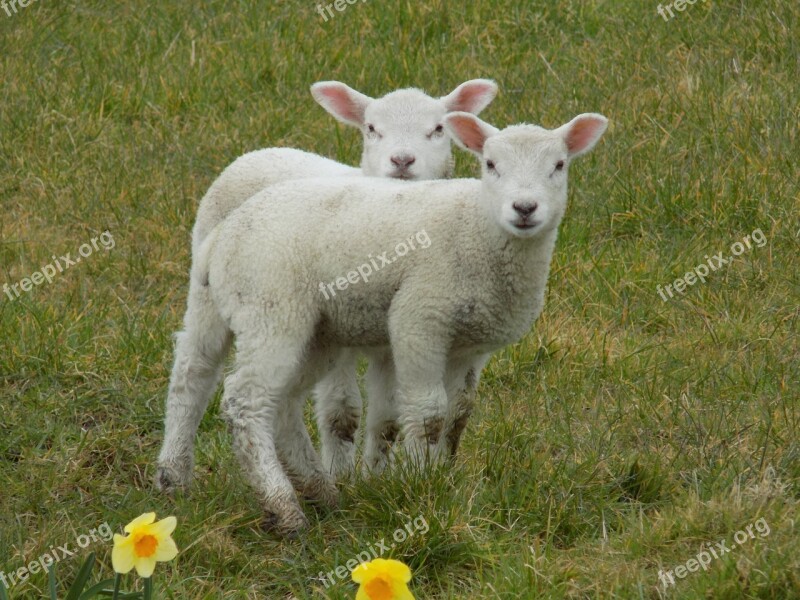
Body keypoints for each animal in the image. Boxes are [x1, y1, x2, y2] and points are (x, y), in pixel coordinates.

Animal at [155, 78, 500, 492]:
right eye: (371, 129)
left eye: (437, 130)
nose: (402, 161)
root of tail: (260, 151)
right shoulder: (342, 330)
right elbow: (342, 413)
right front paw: (342, 477)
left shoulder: (403, 344)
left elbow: (399, 419)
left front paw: (380, 479)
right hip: (209, 287)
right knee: (194, 368)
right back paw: (174, 472)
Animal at [186, 110, 608, 532]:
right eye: (490, 164)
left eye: (559, 165)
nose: (524, 208)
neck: (477, 228)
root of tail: (225, 232)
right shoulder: (420, 315)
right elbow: (430, 414)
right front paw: (422, 486)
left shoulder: (470, 344)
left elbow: (459, 414)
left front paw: (444, 475)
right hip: (269, 306)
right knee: (241, 398)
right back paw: (282, 507)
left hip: (315, 332)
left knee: (284, 403)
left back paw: (321, 492)